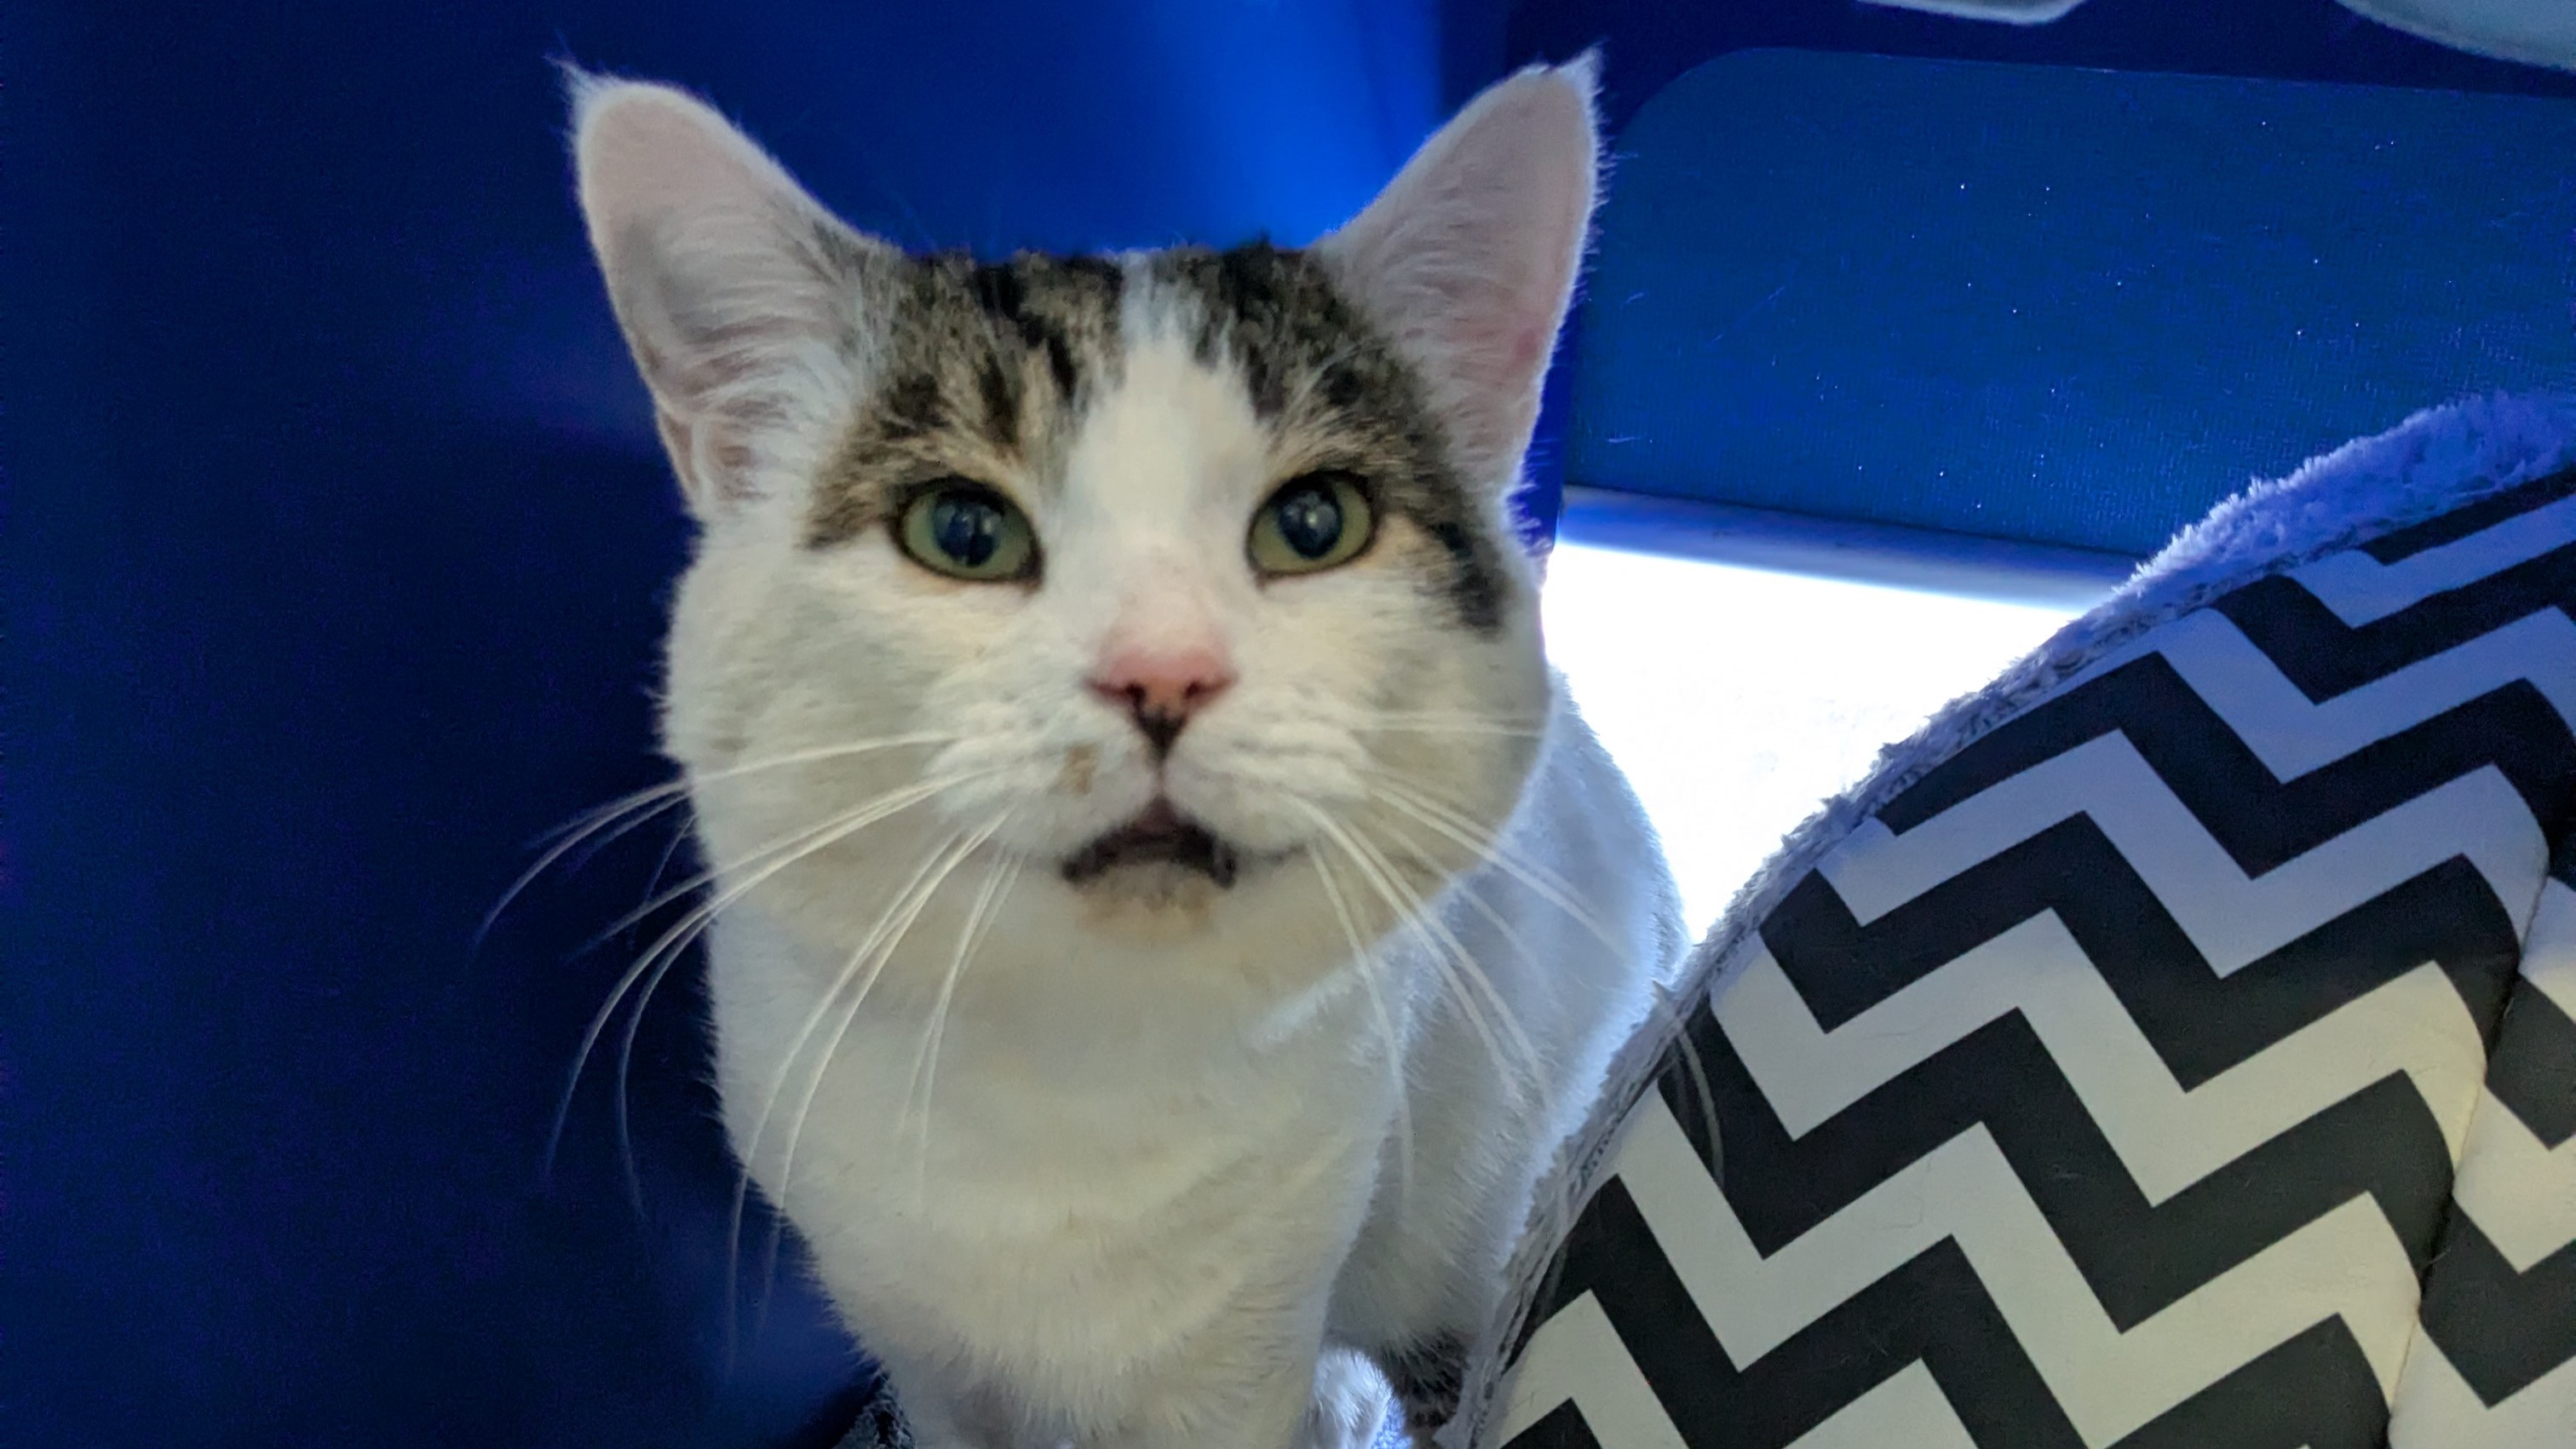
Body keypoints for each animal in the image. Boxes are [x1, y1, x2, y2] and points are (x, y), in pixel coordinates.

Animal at [568, 54, 1681, 1449]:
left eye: (1315, 523)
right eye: (961, 530)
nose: (1164, 673)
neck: (1065, 1077)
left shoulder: (1252, 1337)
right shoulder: (916, 1346)